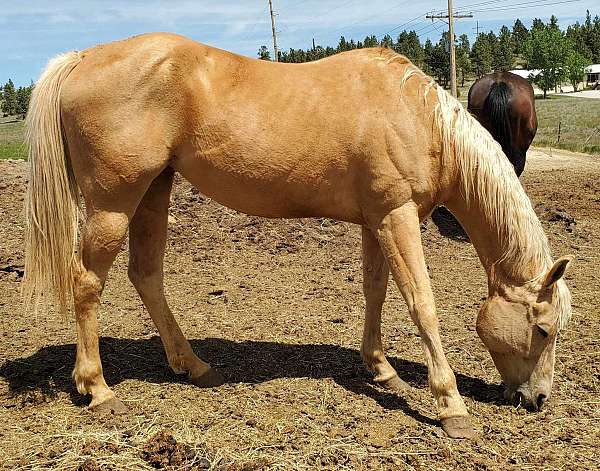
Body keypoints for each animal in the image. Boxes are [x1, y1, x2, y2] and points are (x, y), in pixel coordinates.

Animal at [24, 33, 572, 438]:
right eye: (544, 329)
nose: (537, 399)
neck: (418, 118)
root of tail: (81, 59)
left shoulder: (377, 220)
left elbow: (376, 291)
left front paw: (380, 367)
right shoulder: (397, 218)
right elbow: (422, 304)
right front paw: (451, 404)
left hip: (154, 191)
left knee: (146, 275)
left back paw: (193, 366)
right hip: (114, 204)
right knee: (87, 284)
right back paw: (97, 389)